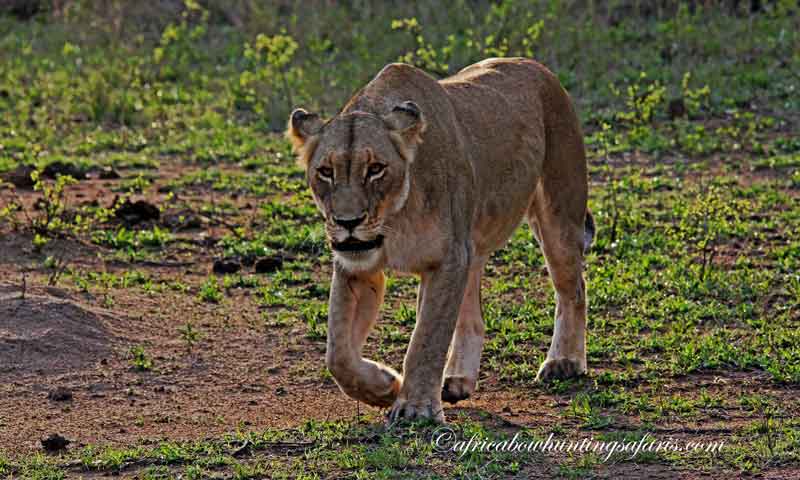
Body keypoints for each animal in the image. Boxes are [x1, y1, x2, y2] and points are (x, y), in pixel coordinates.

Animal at [287, 57, 594, 423]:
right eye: (325, 172)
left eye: (375, 168)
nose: (348, 222)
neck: (395, 219)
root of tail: (538, 67)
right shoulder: (358, 268)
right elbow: (338, 354)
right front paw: (385, 386)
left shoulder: (448, 259)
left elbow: (427, 338)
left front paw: (415, 407)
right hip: (472, 244)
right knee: (473, 317)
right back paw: (457, 380)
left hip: (558, 215)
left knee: (573, 290)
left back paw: (565, 362)